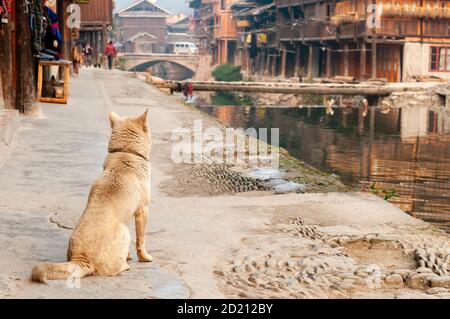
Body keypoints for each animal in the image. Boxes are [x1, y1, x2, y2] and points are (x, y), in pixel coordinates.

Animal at [32, 110, 153, 284]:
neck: (125, 152)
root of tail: (81, 259)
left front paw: (128, 255)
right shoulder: (143, 211)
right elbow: (141, 240)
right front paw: (144, 257)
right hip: (124, 231)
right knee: (113, 270)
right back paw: (124, 266)